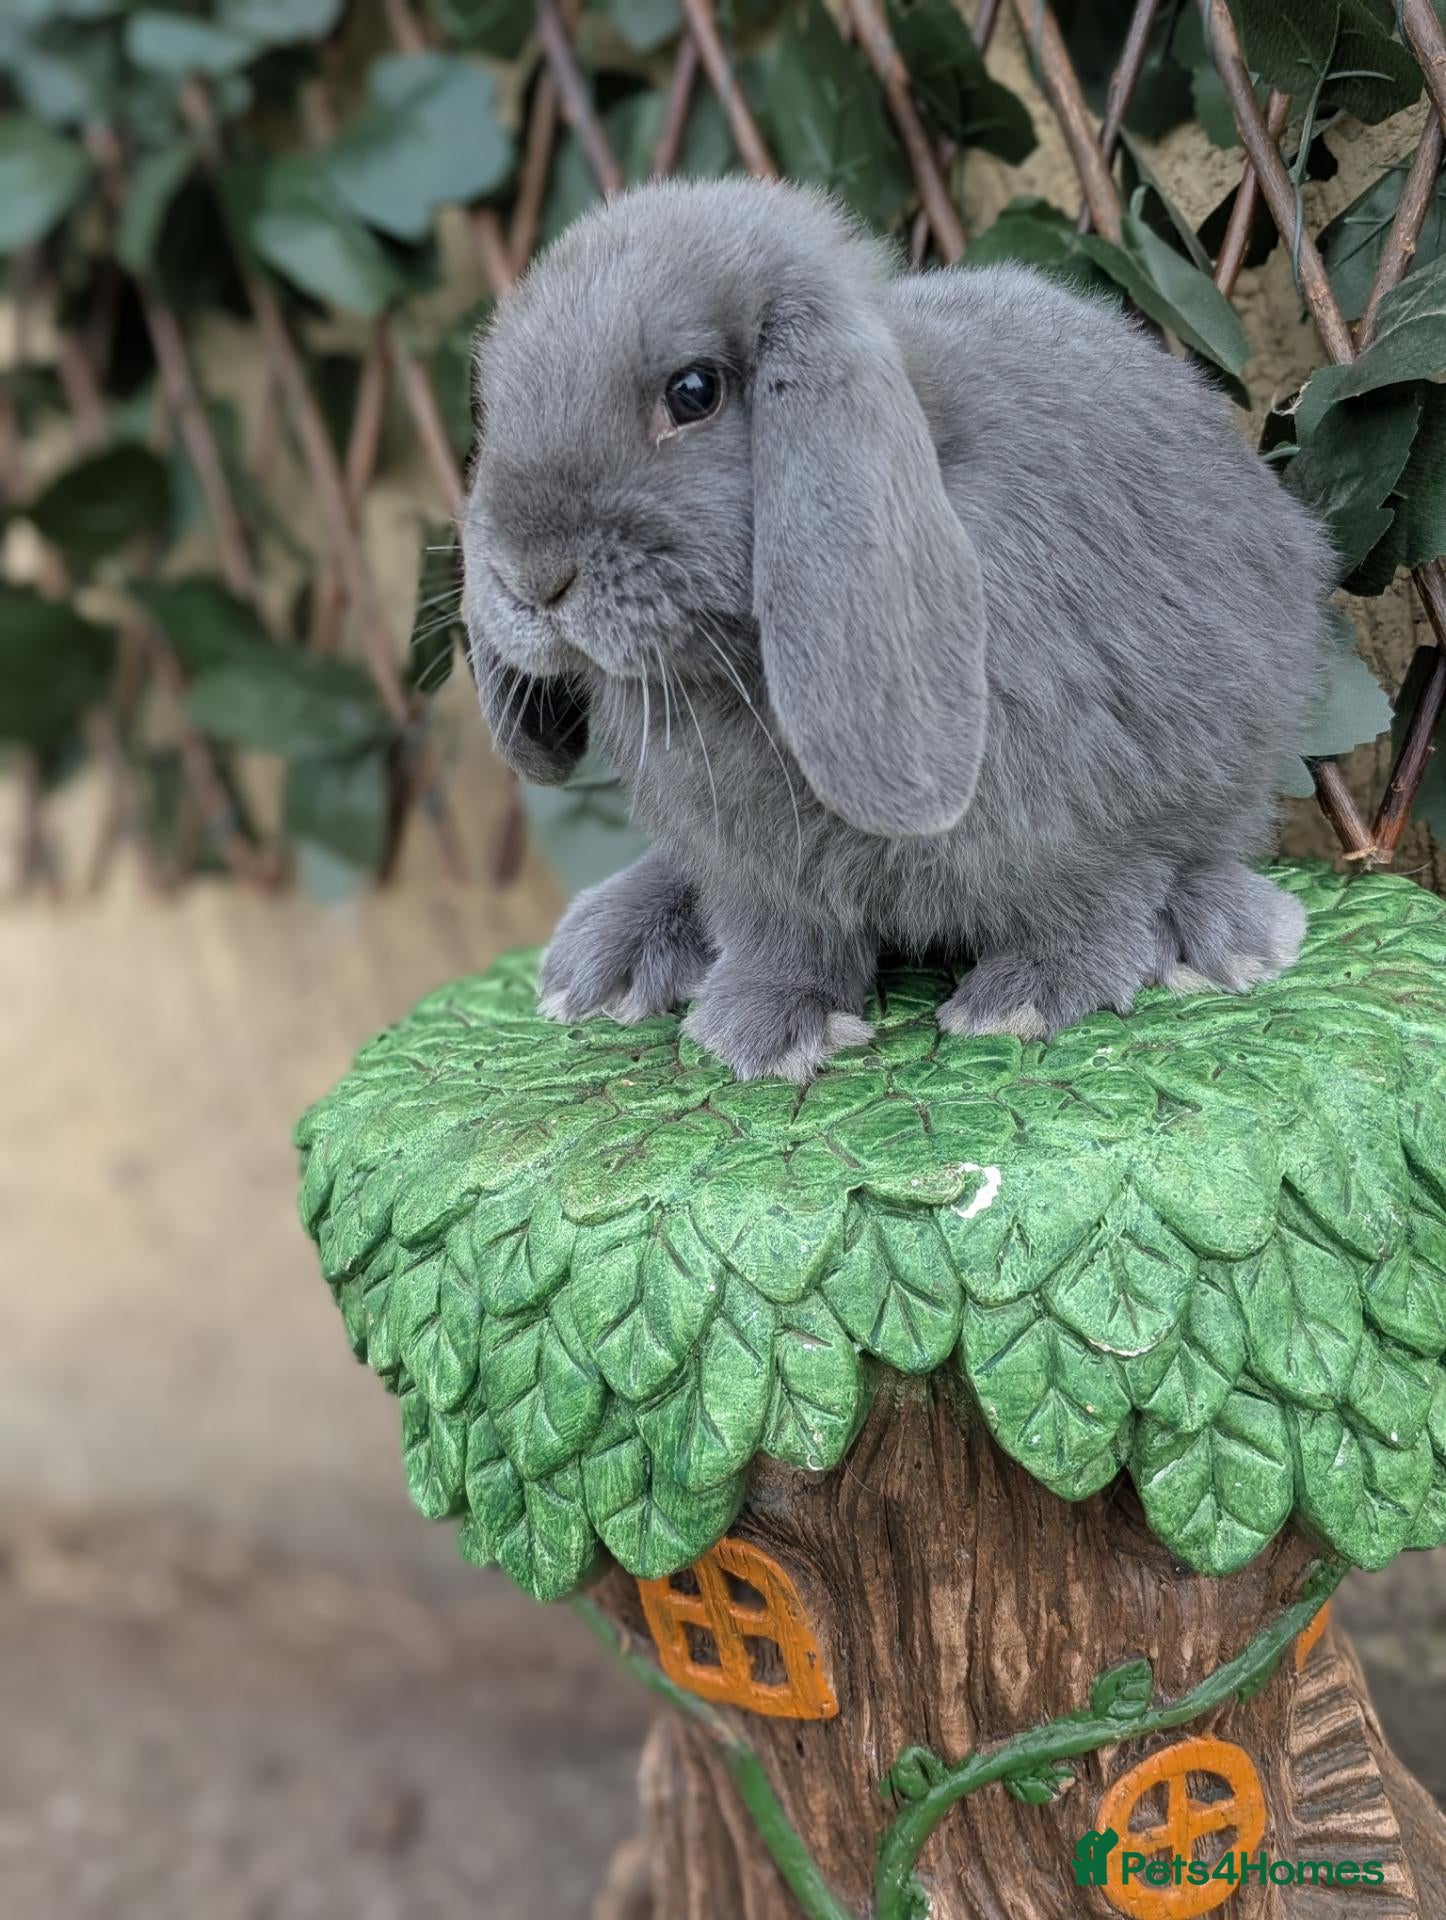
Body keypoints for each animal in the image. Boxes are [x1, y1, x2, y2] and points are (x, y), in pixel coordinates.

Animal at [461, 177, 1333, 1083]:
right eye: (492, 403)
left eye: (693, 392)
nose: (529, 577)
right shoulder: (755, 864)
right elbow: (783, 937)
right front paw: (765, 1030)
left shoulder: (1082, 805)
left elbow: (1090, 902)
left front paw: (1025, 997)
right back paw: (603, 964)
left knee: (1202, 854)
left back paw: (1228, 937)